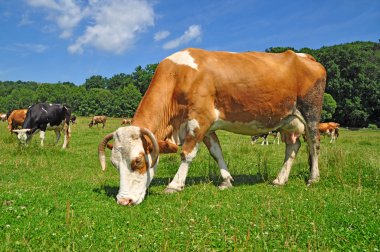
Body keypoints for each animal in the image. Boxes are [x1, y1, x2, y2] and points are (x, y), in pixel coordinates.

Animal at [98, 48, 326, 206]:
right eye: (115, 164)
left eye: (137, 161)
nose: (123, 201)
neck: (178, 77)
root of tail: (305, 56)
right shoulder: (206, 127)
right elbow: (217, 152)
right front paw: (226, 181)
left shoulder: (200, 120)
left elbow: (187, 154)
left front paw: (174, 185)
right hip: (288, 120)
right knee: (293, 147)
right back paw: (280, 179)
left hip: (310, 112)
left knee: (314, 144)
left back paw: (313, 178)